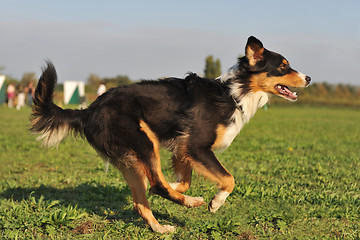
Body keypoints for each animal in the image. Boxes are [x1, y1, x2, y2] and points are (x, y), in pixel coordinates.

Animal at [31, 35, 310, 232]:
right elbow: (229, 179)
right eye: (283, 67)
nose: (308, 78)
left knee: (142, 201)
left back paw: (161, 227)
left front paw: (178, 186)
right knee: (156, 182)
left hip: (131, 158)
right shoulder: (196, 145)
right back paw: (191, 202)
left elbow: (184, 180)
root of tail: (89, 110)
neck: (234, 93)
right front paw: (215, 202)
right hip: (145, 141)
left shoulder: (182, 147)